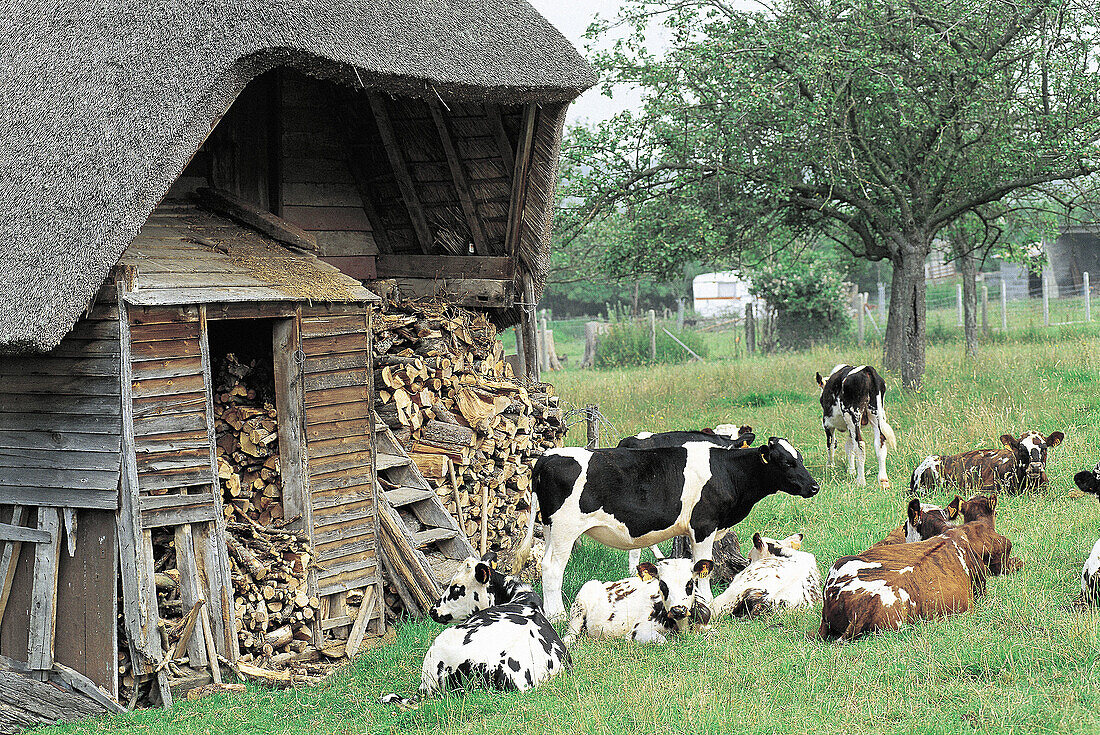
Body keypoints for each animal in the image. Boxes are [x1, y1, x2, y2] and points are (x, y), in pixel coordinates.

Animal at [514, 435, 818, 620]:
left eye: (801, 458)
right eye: (787, 462)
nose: (814, 487)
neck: (726, 471)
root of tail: (547, 456)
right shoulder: (704, 525)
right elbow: (705, 569)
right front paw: (706, 600)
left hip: (551, 528)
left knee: (545, 563)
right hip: (565, 529)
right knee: (553, 568)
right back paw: (557, 615)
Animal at [563, 558, 717, 646]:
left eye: (690, 583)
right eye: (662, 584)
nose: (678, 610)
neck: (681, 627)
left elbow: (712, 633)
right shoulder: (638, 630)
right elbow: (662, 640)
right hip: (579, 605)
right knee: (571, 634)